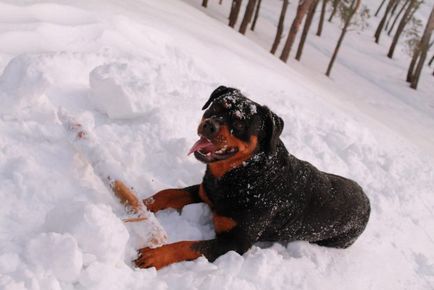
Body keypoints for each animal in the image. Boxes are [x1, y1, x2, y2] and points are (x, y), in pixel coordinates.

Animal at [135, 86, 370, 270]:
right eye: (216, 108)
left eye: (239, 124)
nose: (209, 124)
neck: (244, 175)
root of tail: (366, 199)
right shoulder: (205, 191)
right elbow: (167, 194)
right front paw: (139, 205)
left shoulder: (235, 243)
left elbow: (188, 245)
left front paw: (156, 255)